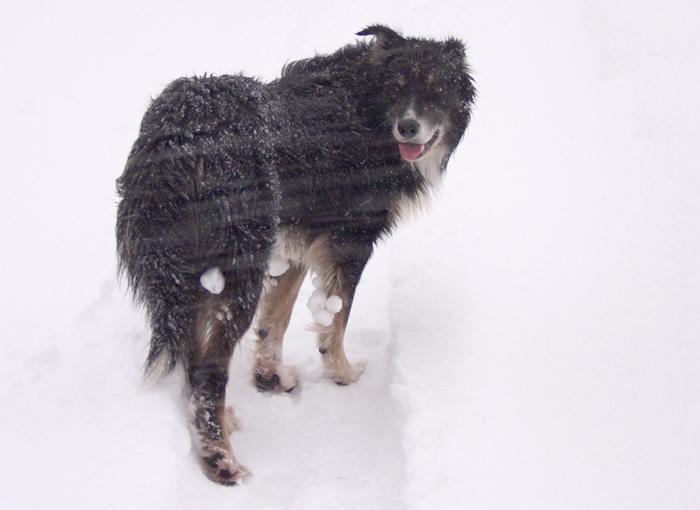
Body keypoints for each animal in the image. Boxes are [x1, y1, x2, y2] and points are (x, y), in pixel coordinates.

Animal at [116, 24, 476, 486]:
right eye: (397, 87)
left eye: (437, 88)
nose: (408, 126)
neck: (367, 107)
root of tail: (180, 133)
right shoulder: (350, 239)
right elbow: (336, 318)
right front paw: (342, 373)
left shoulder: (298, 239)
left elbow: (277, 316)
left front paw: (270, 376)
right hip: (236, 268)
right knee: (209, 370)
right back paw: (221, 459)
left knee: (195, 355)